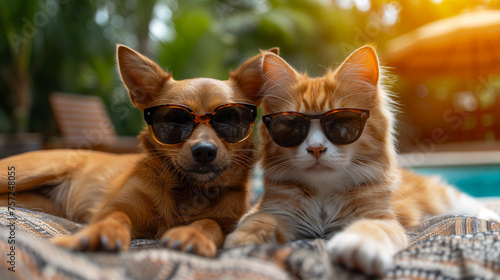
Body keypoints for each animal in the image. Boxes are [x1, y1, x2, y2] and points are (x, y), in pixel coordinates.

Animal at [0, 44, 278, 258]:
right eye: (173, 120)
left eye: (229, 119)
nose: (204, 151)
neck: (189, 190)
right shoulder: (117, 208)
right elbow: (115, 218)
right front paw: (100, 234)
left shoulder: (229, 224)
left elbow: (210, 222)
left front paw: (192, 233)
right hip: (26, 173)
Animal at [227, 46, 500, 276]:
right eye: (291, 126)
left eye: (342, 125)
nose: (316, 148)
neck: (323, 194)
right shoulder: (276, 211)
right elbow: (257, 222)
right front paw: (241, 242)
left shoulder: (382, 217)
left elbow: (372, 228)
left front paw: (357, 244)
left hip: (443, 197)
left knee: (471, 205)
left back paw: (491, 217)